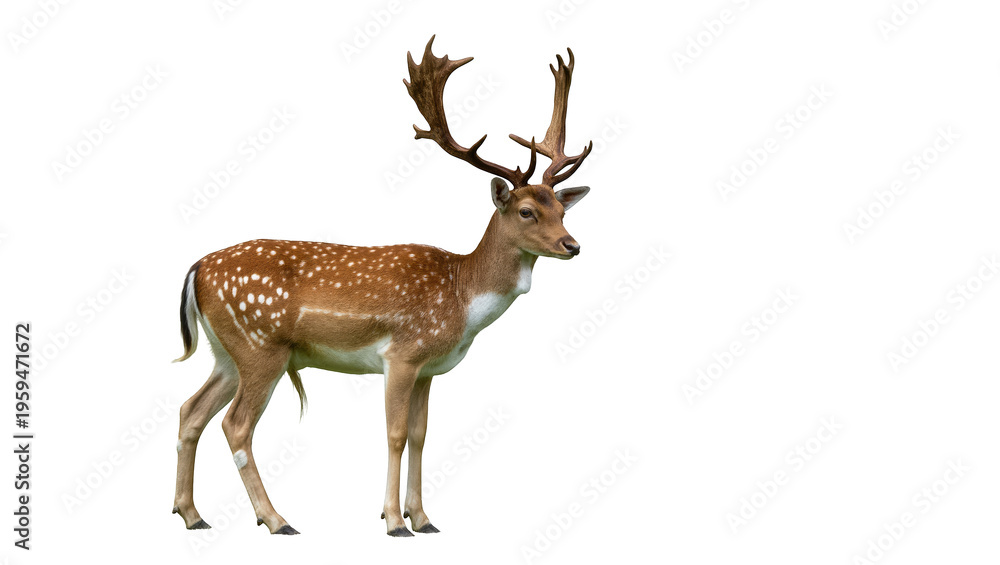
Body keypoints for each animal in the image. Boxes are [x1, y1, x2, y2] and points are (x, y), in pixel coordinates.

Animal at [171, 36, 593, 537]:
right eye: (527, 211)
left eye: (562, 211)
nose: (573, 245)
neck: (461, 298)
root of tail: (197, 268)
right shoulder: (402, 354)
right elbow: (394, 435)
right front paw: (393, 521)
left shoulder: (430, 368)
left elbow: (421, 435)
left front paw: (423, 518)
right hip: (261, 346)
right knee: (235, 425)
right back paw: (276, 519)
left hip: (226, 351)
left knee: (191, 411)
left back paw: (192, 514)